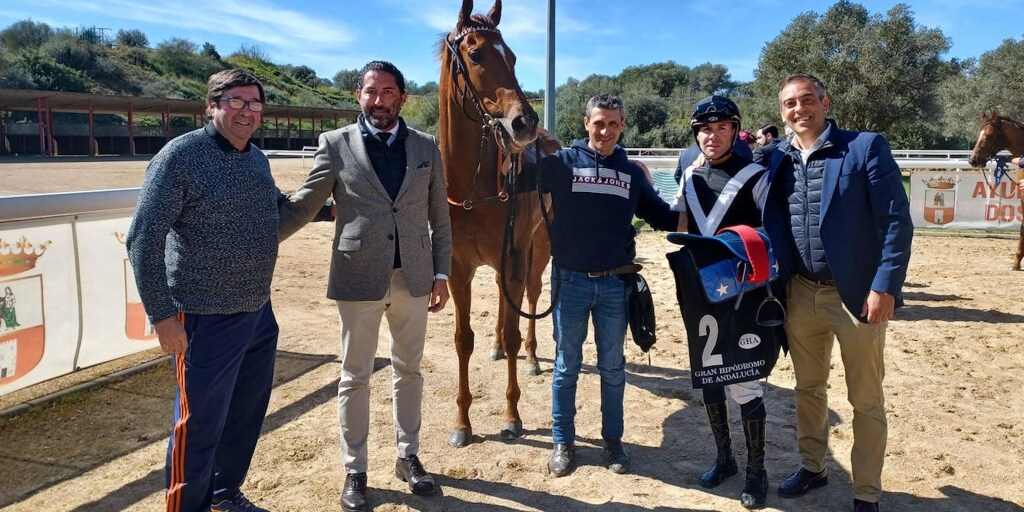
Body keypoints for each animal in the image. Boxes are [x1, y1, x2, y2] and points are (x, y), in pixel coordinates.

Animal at [438, 0, 557, 448]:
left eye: (514, 57)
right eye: (475, 54)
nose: (524, 122)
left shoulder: (514, 256)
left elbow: (512, 329)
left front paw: (511, 417)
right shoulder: (458, 267)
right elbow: (463, 340)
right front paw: (462, 424)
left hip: (537, 249)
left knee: (531, 299)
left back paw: (533, 357)